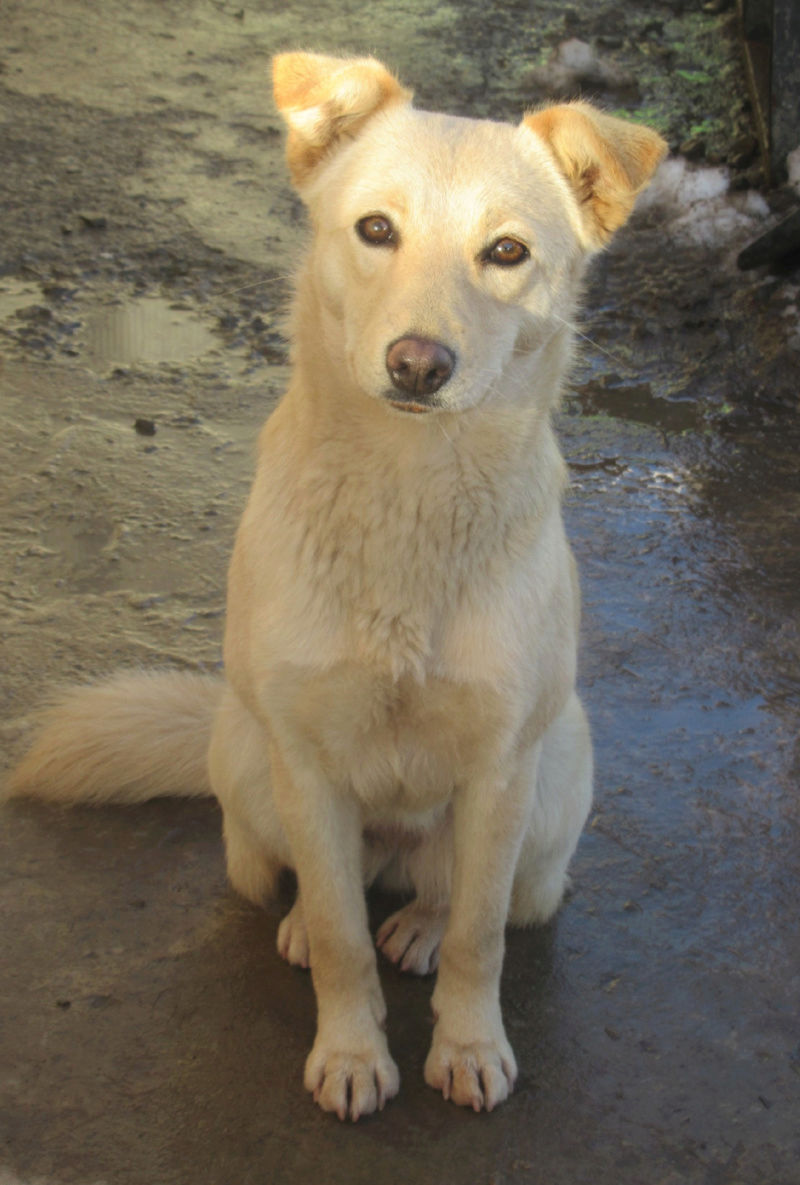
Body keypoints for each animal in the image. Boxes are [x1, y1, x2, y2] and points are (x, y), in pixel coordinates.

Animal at [6, 53, 668, 1118]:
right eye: (376, 229)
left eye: (508, 251)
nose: (418, 364)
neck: (406, 493)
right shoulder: (308, 768)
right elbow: (335, 933)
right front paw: (352, 1051)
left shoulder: (500, 773)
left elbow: (478, 934)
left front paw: (468, 1042)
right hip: (249, 764)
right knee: (318, 891)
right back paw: (300, 926)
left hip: (554, 782)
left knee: (446, 894)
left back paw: (421, 923)